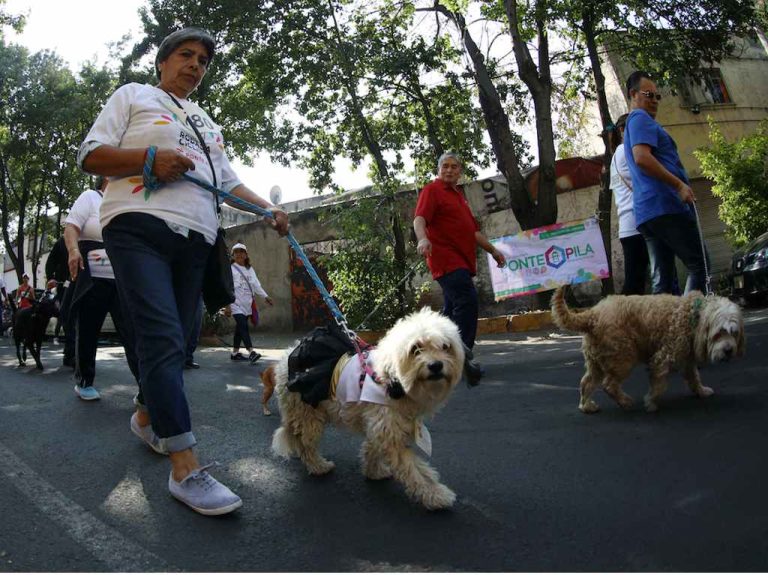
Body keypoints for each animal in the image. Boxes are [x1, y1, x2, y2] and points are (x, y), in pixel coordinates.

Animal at [270, 308, 464, 510]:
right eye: (415, 349)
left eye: (446, 347)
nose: (436, 365)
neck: (392, 380)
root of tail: (285, 359)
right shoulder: (388, 432)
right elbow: (415, 470)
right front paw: (436, 494)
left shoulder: (381, 427)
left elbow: (372, 449)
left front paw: (374, 471)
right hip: (309, 416)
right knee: (306, 445)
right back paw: (318, 466)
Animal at [552, 288, 744, 414]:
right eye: (719, 333)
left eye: (734, 333)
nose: (729, 351)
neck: (693, 315)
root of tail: (592, 315)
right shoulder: (662, 358)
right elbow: (659, 385)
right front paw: (651, 402)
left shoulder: (687, 360)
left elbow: (694, 377)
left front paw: (701, 391)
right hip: (623, 359)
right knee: (608, 385)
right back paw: (625, 402)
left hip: (596, 362)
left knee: (587, 382)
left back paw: (587, 406)